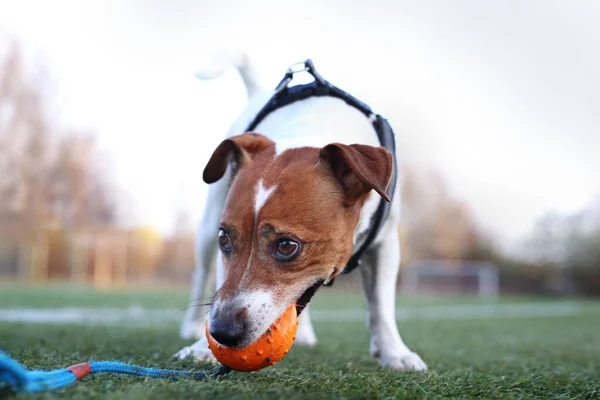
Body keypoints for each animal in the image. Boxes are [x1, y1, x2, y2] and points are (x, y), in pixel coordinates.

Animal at [175, 50, 426, 372]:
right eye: (225, 239)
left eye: (287, 246)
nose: (222, 332)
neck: (312, 128)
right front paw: (202, 347)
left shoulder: (386, 243)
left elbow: (381, 304)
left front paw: (394, 352)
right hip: (207, 226)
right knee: (201, 273)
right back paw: (191, 328)